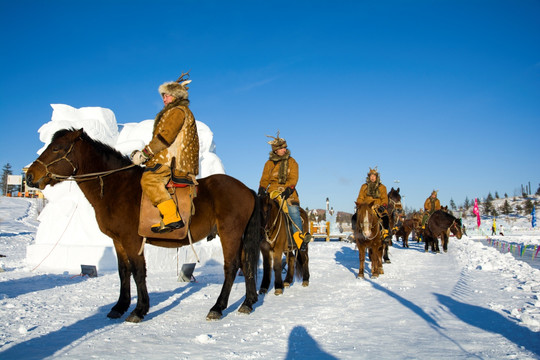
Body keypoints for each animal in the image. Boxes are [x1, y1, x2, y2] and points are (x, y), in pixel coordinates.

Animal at [25, 128, 262, 322]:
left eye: (56, 148)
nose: (29, 176)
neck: (116, 187)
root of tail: (247, 190)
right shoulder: (118, 241)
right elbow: (123, 272)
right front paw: (119, 306)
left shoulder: (132, 240)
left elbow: (138, 272)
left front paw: (139, 310)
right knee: (246, 264)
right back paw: (248, 302)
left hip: (229, 233)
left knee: (232, 266)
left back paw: (218, 307)